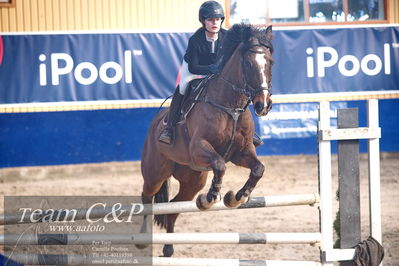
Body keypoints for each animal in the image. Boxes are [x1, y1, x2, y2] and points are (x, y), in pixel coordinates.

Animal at [139, 23, 274, 256]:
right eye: (248, 63)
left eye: (270, 62)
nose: (263, 105)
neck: (231, 106)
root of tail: (154, 124)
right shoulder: (199, 148)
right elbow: (220, 165)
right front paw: (211, 197)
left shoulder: (241, 152)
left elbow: (258, 168)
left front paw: (238, 196)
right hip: (155, 173)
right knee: (147, 198)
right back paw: (142, 240)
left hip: (192, 179)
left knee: (173, 208)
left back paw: (168, 249)